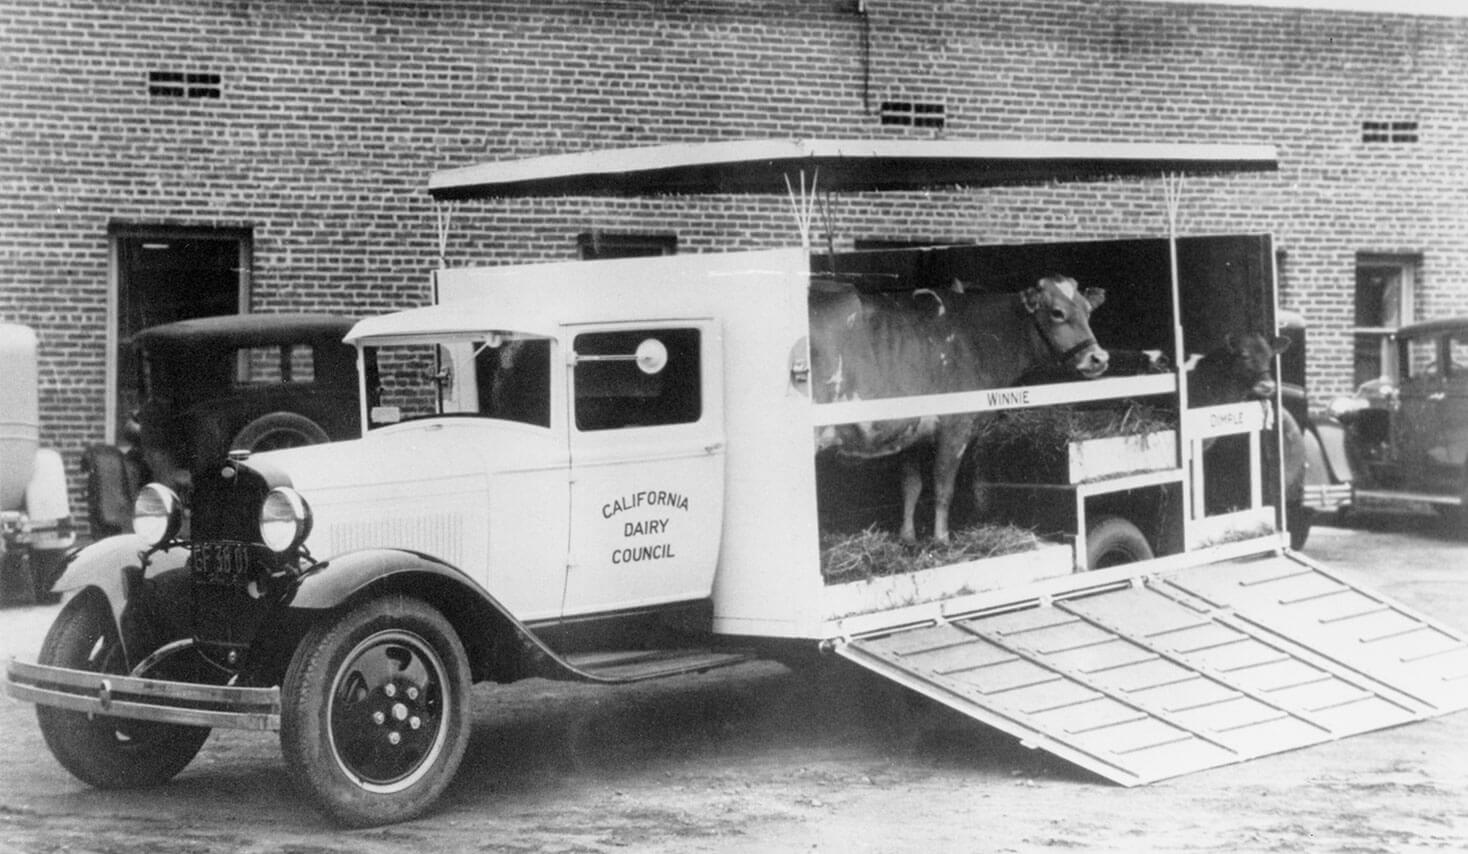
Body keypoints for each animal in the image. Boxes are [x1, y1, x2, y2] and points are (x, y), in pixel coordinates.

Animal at [810, 275, 1103, 542]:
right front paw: (941, 539)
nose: (1098, 358)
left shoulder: (911, 432)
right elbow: (943, 488)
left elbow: (911, 487)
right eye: (1057, 312)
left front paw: (907, 537)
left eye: (1088, 310)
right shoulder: (956, 427)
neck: (975, 336)